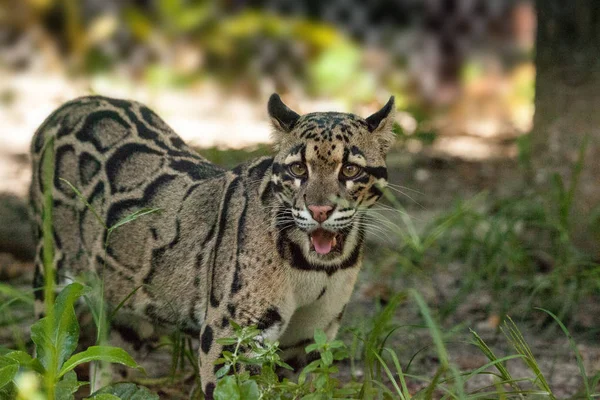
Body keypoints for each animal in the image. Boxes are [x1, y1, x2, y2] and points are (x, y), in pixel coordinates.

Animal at [29, 94, 394, 396]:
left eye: (350, 170)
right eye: (297, 169)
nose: (319, 210)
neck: (317, 266)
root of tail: (66, 107)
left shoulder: (308, 338)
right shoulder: (230, 337)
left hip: (126, 313)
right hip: (50, 281)